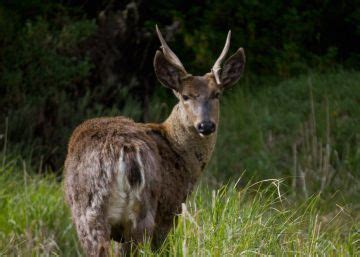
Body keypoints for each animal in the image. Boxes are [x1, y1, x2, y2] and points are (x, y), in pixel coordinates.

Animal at [64, 24, 245, 256]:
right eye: (185, 96)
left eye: (217, 94)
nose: (206, 125)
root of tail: (126, 152)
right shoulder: (171, 205)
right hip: (129, 209)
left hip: (99, 213)